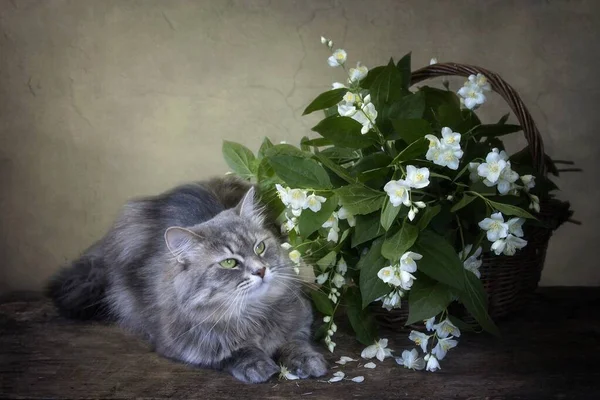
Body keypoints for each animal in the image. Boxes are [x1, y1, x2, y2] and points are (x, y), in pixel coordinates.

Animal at [47, 177, 328, 382]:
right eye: (229, 263)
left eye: (259, 248)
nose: (260, 270)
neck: (253, 315)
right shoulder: (185, 345)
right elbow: (232, 352)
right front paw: (257, 364)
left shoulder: (301, 320)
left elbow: (294, 343)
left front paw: (308, 361)